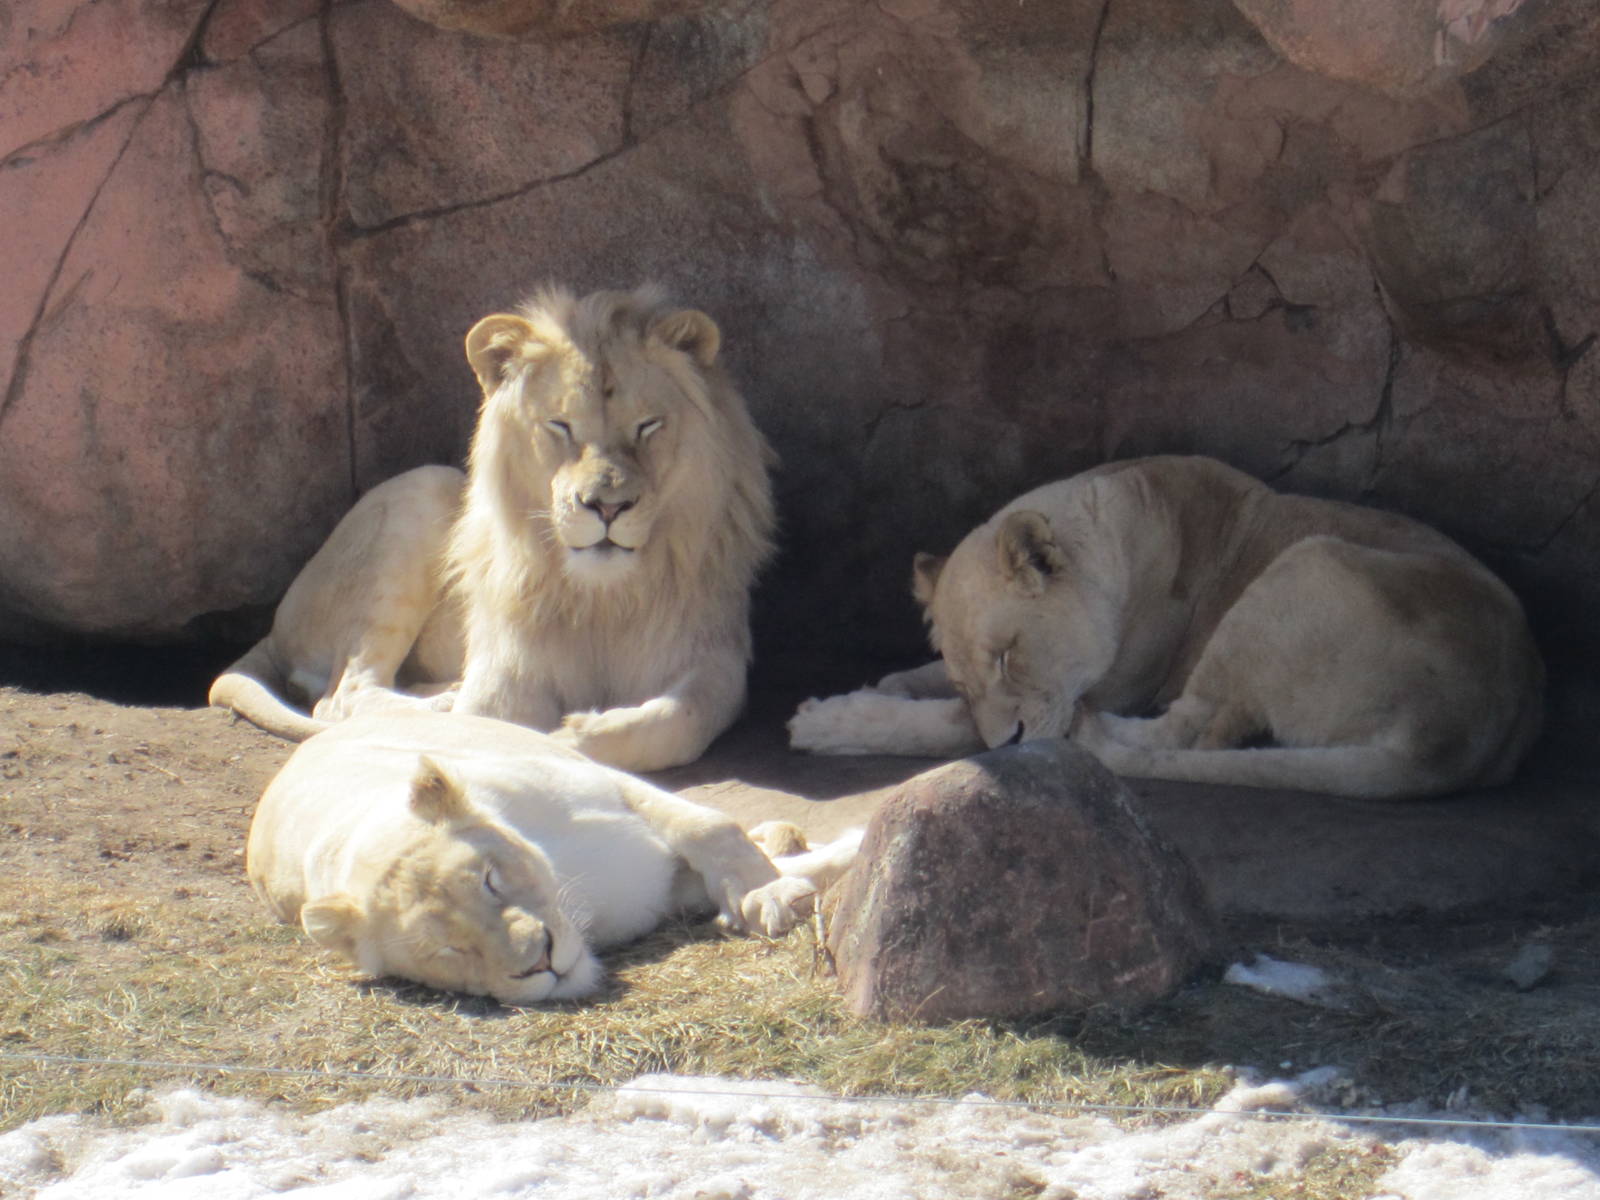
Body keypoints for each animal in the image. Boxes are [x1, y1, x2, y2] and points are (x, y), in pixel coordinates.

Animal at [210, 285, 776, 772]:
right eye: (560, 426)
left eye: (648, 426)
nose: (607, 506)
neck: (600, 597)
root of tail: (278, 621)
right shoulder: (507, 671)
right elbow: (495, 728)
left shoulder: (713, 656)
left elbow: (680, 718)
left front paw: (577, 734)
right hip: (423, 487)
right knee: (341, 695)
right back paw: (439, 705)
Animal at [247, 709, 862, 1004]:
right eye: (447, 951)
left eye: (490, 880)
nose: (539, 961)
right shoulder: (660, 888)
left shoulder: (613, 788)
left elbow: (713, 827)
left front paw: (770, 893)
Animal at [790, 455, 1544, 800]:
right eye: (967, 675)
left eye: (1009, 656)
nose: (1008, 743)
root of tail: (1454, 741)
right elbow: (921, 686)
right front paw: (883, 686)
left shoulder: (1106, 686)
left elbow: (944, 730)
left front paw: (829, 720)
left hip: (1308, 564)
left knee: (1190, 733)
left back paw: (1101, 737)